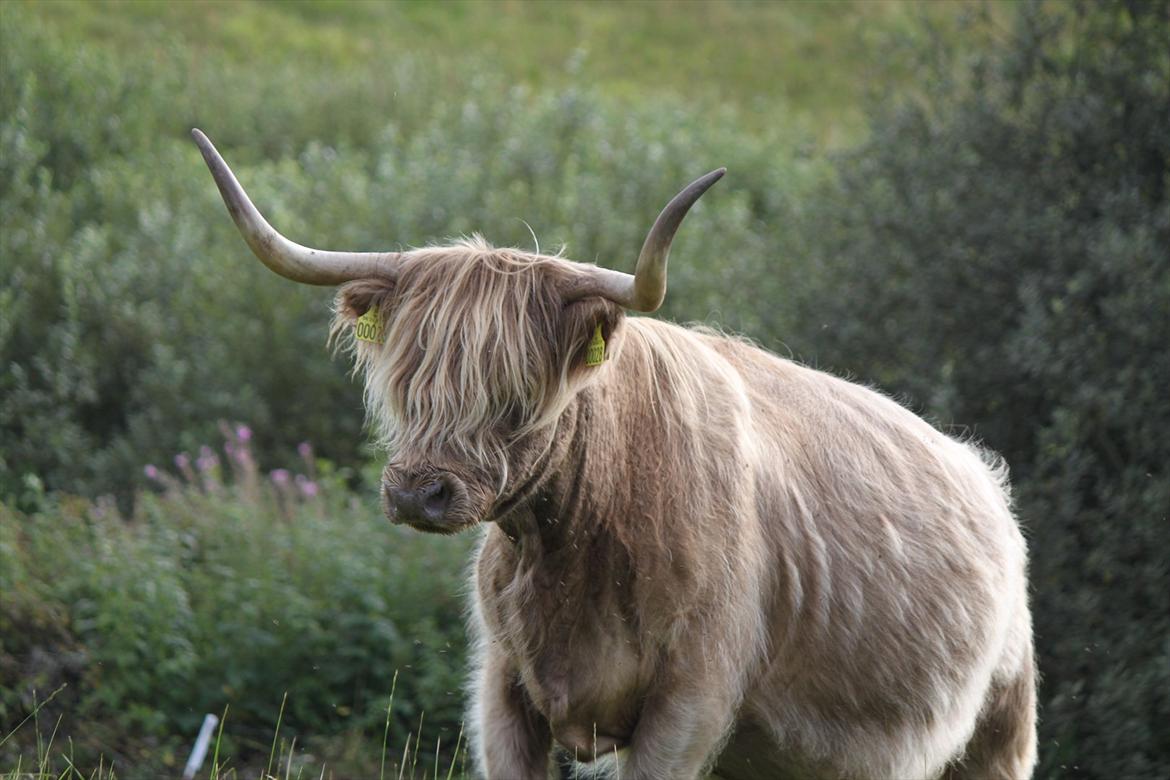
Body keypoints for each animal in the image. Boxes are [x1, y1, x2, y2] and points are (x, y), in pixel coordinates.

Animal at [192, 129, 1037, 780]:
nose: (416, 491)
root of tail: (985, 480)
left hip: (999, 731)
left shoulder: (691, 702)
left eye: (518, 391)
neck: (574, 554)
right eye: (408, 382)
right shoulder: (504, 689)